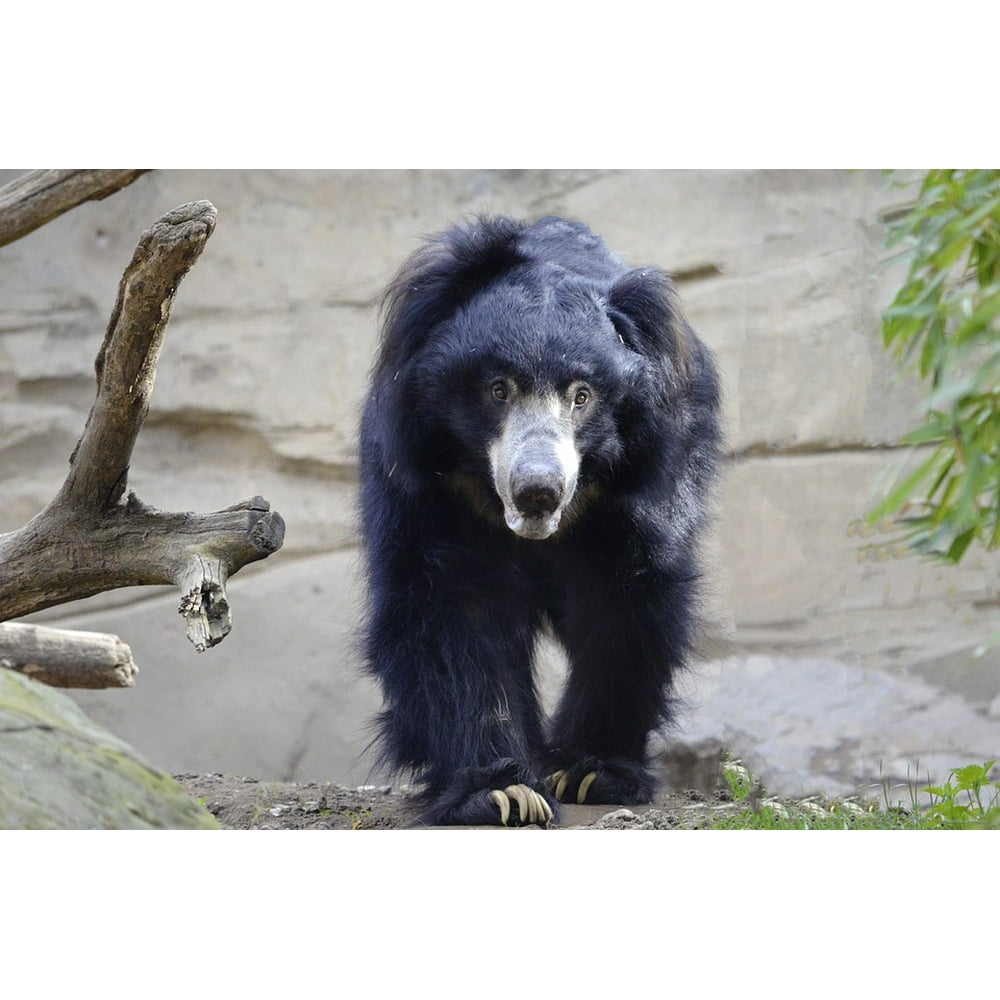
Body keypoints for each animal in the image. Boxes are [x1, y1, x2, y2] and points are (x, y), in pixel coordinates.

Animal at [358, 214, 721, 827]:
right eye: (497, 389)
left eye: (582, 396)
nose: (538, 493)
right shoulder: (429, 482)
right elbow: (450, 607)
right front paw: (502, 791)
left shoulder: (635, 485)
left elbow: (624, 600)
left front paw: (591, 771)